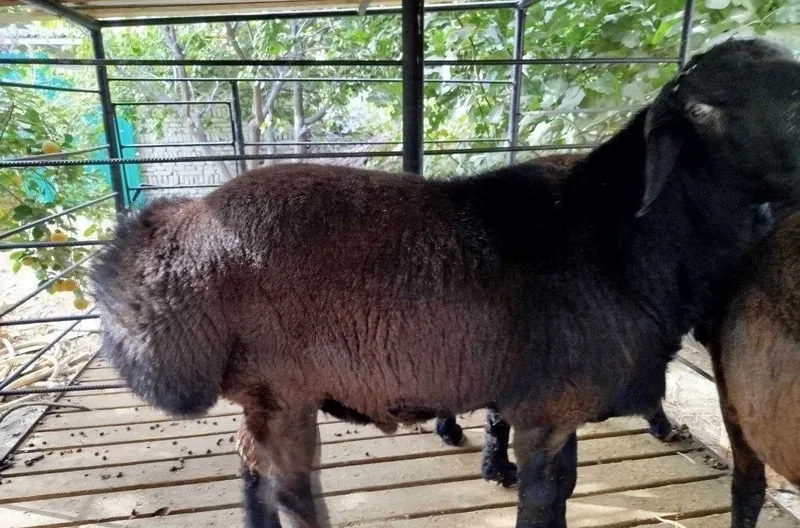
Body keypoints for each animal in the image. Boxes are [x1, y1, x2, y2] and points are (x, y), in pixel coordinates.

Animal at [91, 38, 800, 528]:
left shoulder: (553, 407)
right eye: (786, 99)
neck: (620, 236)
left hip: (263, 396)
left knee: (250, 468)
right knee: (291, 488)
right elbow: (545, 503)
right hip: (282, 388)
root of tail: (181, 228)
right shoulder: (545, 412)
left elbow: (562, 488)